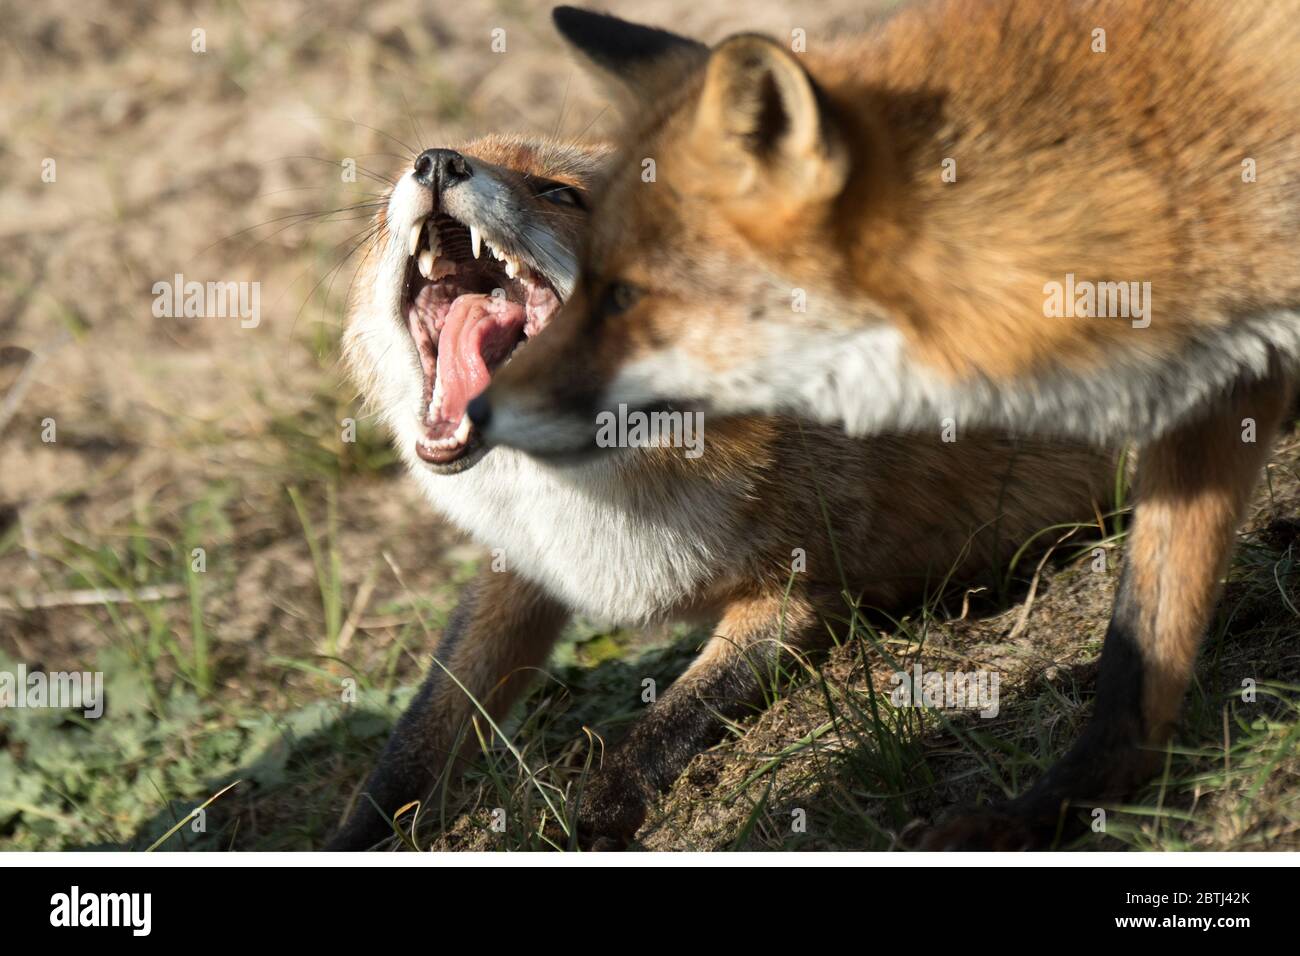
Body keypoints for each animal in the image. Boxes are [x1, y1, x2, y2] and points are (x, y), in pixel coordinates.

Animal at [331, 132, 1116, 850]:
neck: (586, 496)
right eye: (394, 187)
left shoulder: (801, 589)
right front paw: (357, 834)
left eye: (560, 194)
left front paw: (597, 815)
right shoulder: (519, 567)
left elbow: (669, 721)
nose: (437, 161)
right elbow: (420, 734)